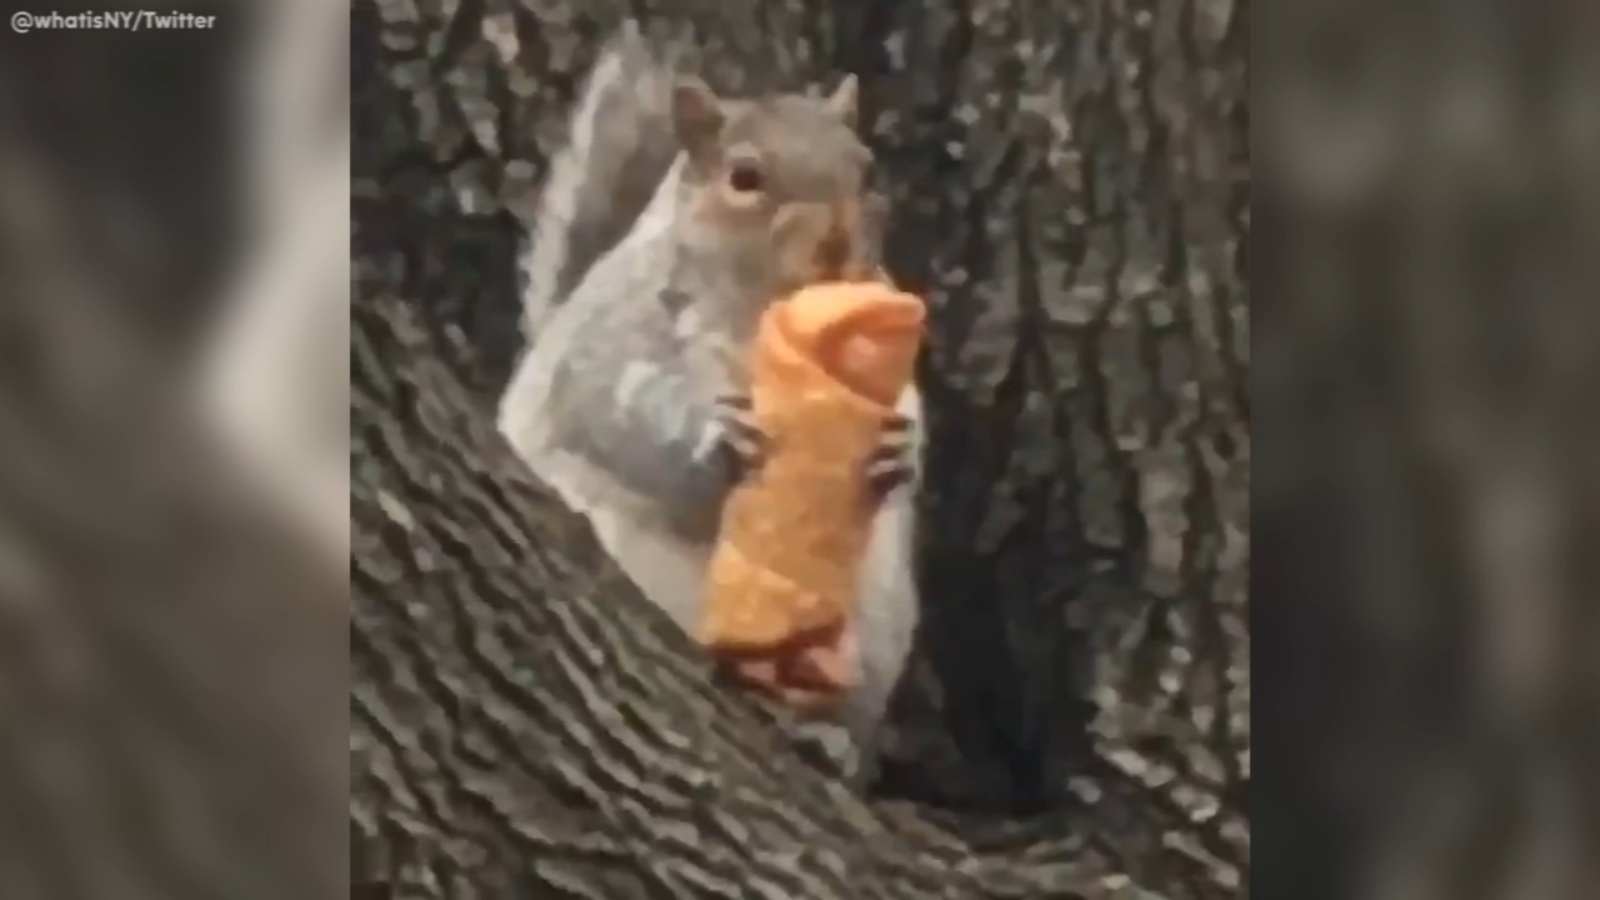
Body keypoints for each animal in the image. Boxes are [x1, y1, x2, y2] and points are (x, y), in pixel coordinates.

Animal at [497, 25, 923, 780]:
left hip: (875, 630)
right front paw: (716, 440)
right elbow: (614, 407)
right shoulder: (614, 334)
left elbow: (914, 416)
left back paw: (826, 736)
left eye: (867, 170)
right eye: (744, 178)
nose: (837, 242)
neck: (757, 313)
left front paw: (896, 453)